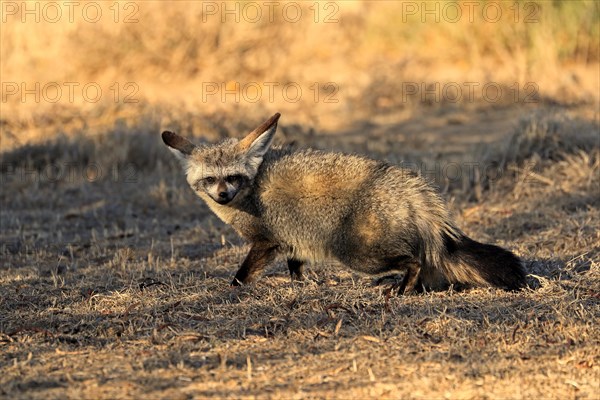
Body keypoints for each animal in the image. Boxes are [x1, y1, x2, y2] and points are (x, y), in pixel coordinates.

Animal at [163, 112, 524, 294]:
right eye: (210, 179)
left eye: (233, 177)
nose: (223, 195)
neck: (250, 193)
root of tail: (413, 187)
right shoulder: (293, 240)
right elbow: (296, 268)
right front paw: (302, 286)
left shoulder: (266, 242)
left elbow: (242, 274)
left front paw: (232, 289)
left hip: (358, 255)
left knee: (414, 261)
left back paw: (402, 289)